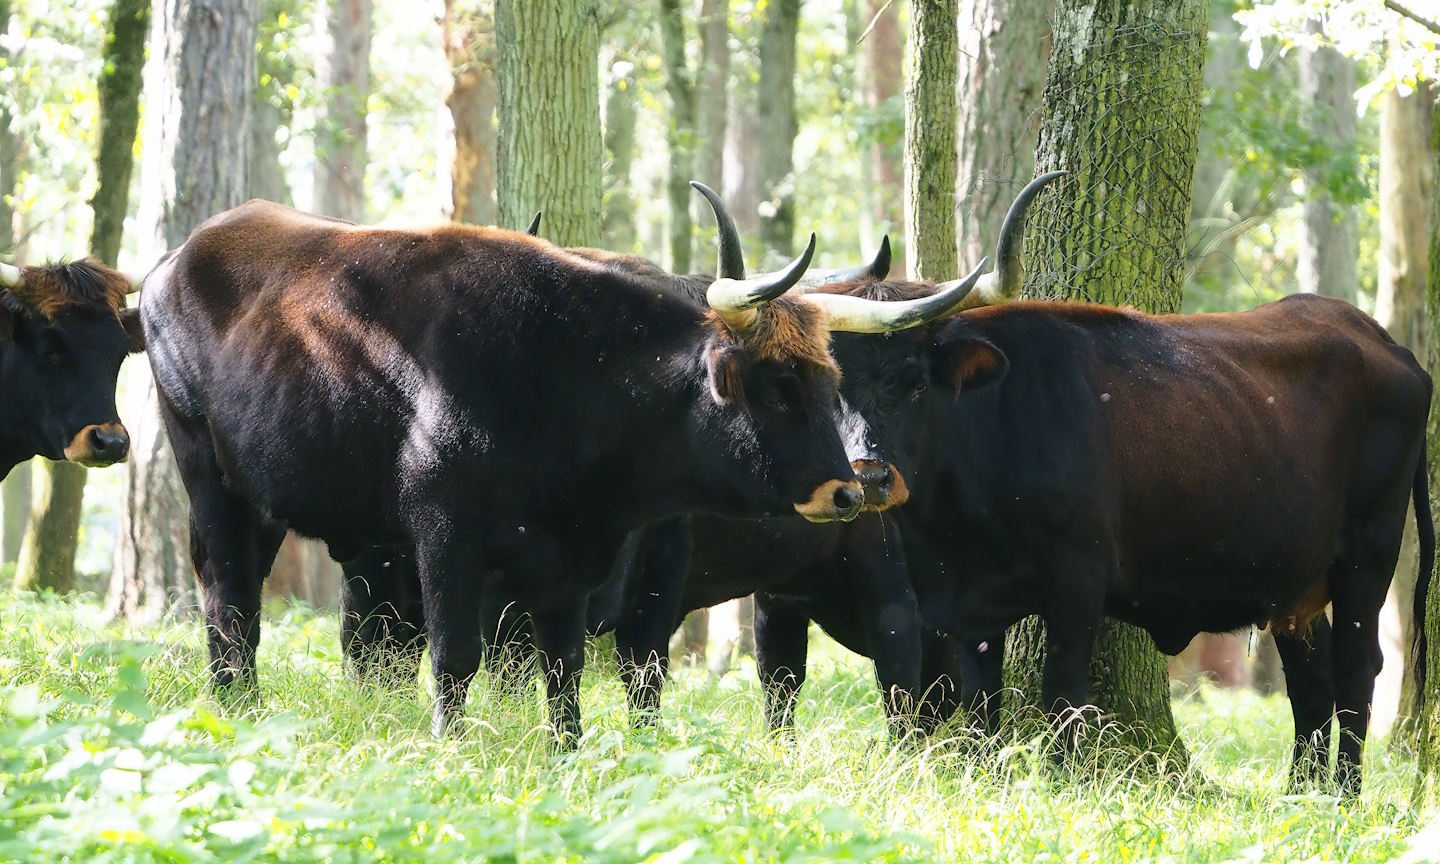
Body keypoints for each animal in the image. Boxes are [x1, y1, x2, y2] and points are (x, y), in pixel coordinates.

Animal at [139, 187, 975, 746]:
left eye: (832, 381)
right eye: (775, 388)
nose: (849, 489)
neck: (570, 375)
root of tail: (177, 260)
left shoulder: (577, 562)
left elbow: (566, 668)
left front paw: (566, 753)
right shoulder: (446, 539)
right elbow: (456, 657)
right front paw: (453, 747)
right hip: (210, 480)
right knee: (230, 595)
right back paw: (237, 708)